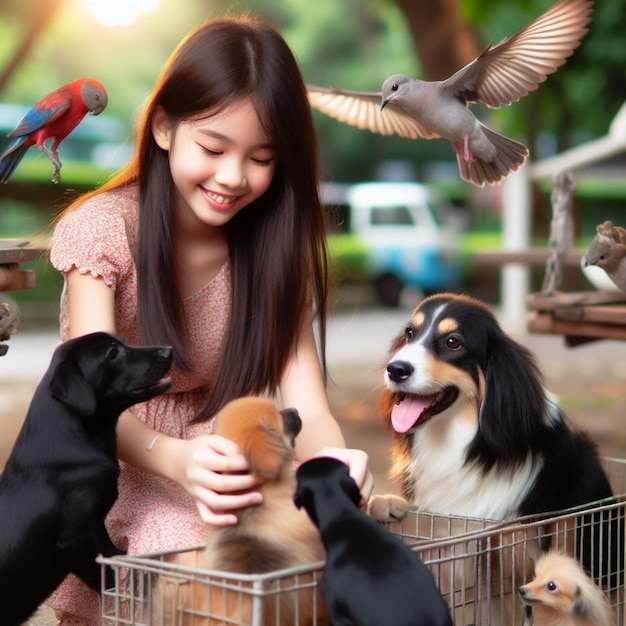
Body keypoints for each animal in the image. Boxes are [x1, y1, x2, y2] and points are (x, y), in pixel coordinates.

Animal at [0, 330, 171, 620]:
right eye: (112, 353)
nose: (168, 351)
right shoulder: (75, 540)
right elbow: (107, 579)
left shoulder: (93, 521)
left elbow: (109, 548)